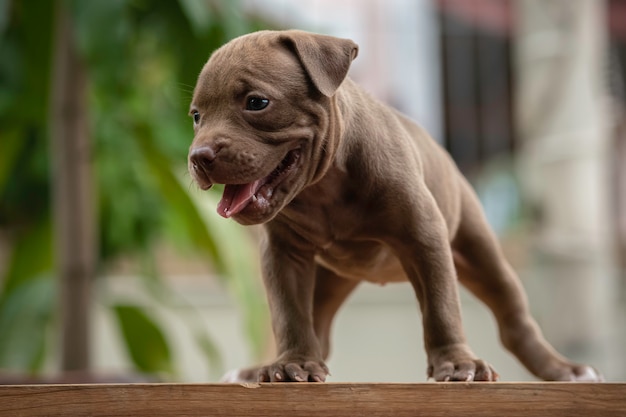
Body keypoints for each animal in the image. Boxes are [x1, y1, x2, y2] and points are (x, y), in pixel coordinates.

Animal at [186, 28, 600, 380]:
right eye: (196, 116)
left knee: (514, 317)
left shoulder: (424, 236)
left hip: (481, 251)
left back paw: (564, 370)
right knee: (318, 328)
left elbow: (441, 307)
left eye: (257, 103)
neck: (323, 188)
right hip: (328, 279)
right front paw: (294, 364)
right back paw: (264, 368)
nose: (198, 156)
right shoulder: (284, 255)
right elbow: (289, 313)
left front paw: (456, 363)